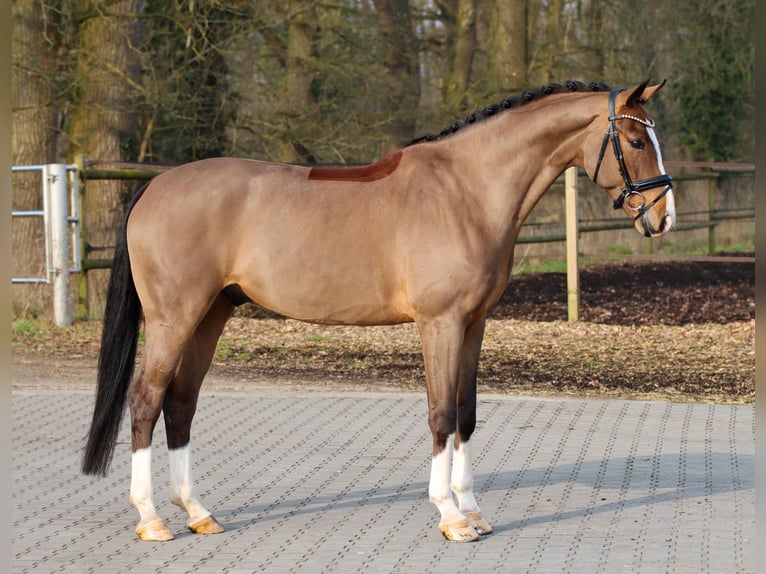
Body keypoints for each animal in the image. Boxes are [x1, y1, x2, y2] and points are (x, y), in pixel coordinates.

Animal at [81, 80, 676, 544]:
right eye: (634, 139)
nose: (663, 218)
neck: (466, 191)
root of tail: (153, 186)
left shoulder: (474, 324)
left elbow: (466, 414)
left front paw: (474, 512)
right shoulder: (439, 324)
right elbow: (441, 415)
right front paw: (450, 517)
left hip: (210, 316)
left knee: (180, 404)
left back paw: (198, 513)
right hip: (173, 319)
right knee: (146, 401)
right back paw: (152, 519)